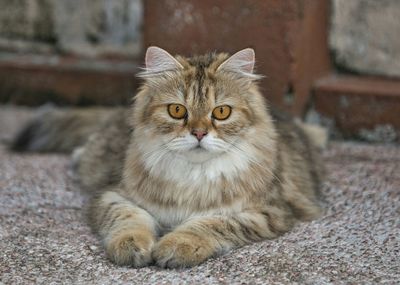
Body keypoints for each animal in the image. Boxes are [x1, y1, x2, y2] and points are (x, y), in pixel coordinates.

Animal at [12, 46, 324, 266]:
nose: (199, 133)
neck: (193, 177)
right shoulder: (113, 194)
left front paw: (178, 245)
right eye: (177, 110)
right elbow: (129, 218)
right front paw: (131, 246)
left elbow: (211, 223)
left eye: (221, 112)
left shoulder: (268, 211)